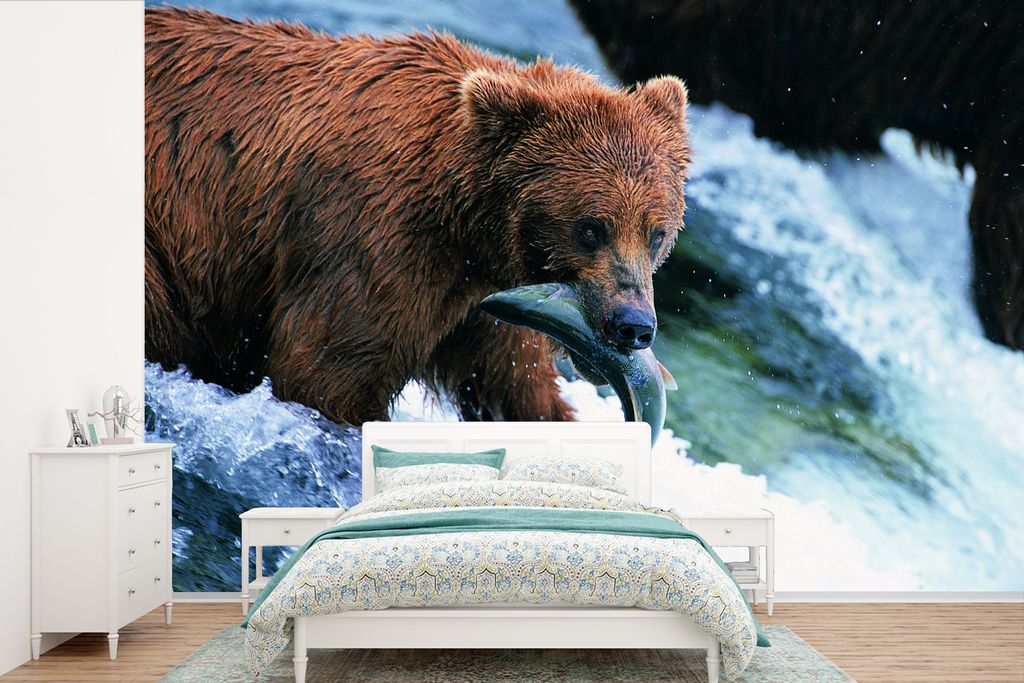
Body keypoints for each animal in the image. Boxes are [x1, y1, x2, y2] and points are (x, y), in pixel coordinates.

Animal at [145, 8, 691, 425]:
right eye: (590, 229)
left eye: (656, 233)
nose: (633, 324)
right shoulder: (376, 238)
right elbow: (327, 375)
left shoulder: (484, 299)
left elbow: (515, 386)